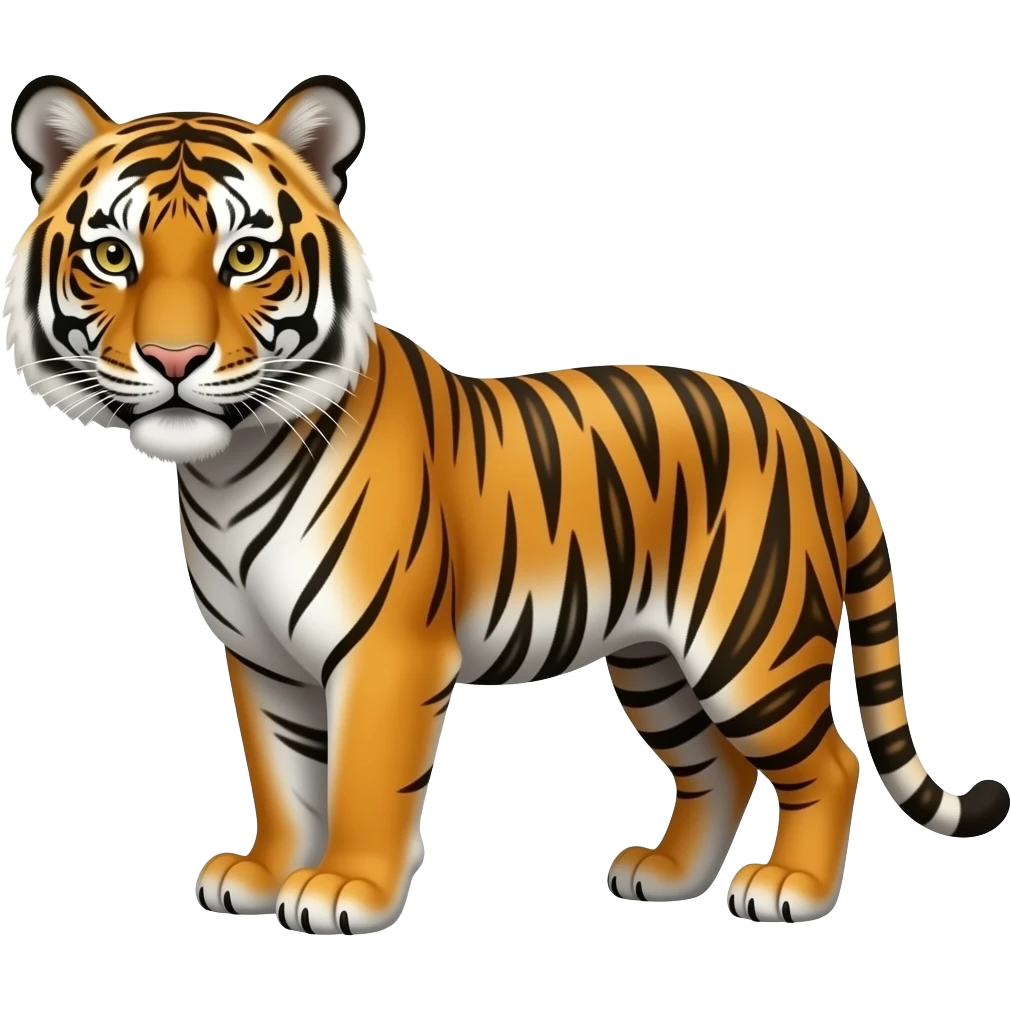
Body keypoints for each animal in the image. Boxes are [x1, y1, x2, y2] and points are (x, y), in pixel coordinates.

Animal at [4, 73, 1008, 936]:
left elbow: (363, 779)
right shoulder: (261, 659)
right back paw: (666, 875)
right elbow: (283, 774)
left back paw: (790, 887)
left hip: (748, 646)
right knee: (715, 767)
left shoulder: (386, 650)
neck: (228, 468)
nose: (174, 360)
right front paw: (261, 872)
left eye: (245, 255)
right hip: (655, 660)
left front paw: (343, 888)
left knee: (828, 763)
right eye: (112, 256)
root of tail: (816, 434)